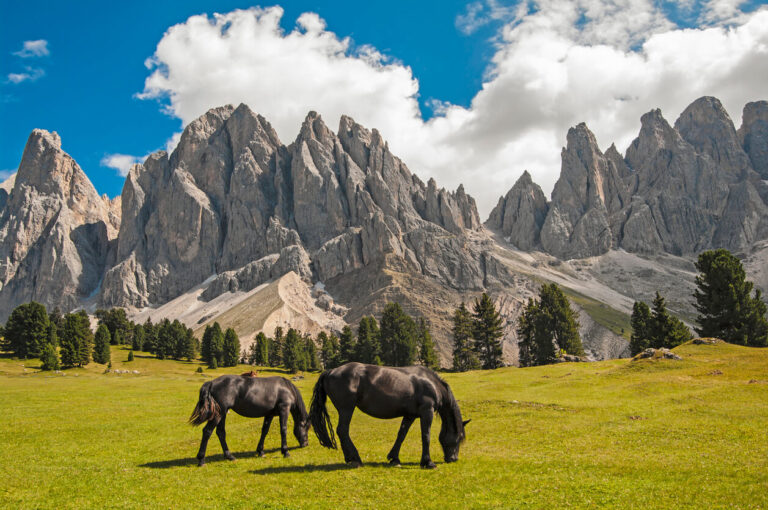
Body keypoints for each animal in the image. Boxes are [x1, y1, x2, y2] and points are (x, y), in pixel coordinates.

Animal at [309, 362, 469, 469]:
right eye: (459, 437)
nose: (453, 458)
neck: (431, 384)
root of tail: (330, 371)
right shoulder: (427, 412)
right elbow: (426, 436)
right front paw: (428, 462)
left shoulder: (410, 415)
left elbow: (401, 435)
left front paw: (394, 458)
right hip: (346, 409)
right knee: (342, 430)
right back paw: (355, 458)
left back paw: (350, 458)